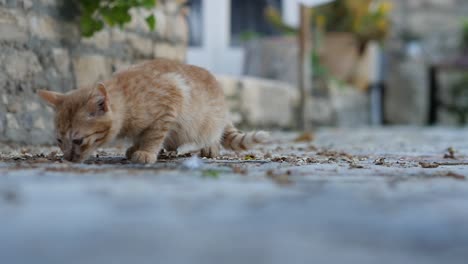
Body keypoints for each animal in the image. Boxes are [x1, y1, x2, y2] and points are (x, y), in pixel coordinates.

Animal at [38, 58, 268, 163]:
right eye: (59, 140)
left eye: (78, 140)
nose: (67, 158)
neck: (128, 98)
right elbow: (142, 135)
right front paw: (135, 147)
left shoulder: (171, 101)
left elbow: (153, 134)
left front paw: (146, 152)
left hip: (209, 122)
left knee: (214, 133)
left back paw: (210, 147)